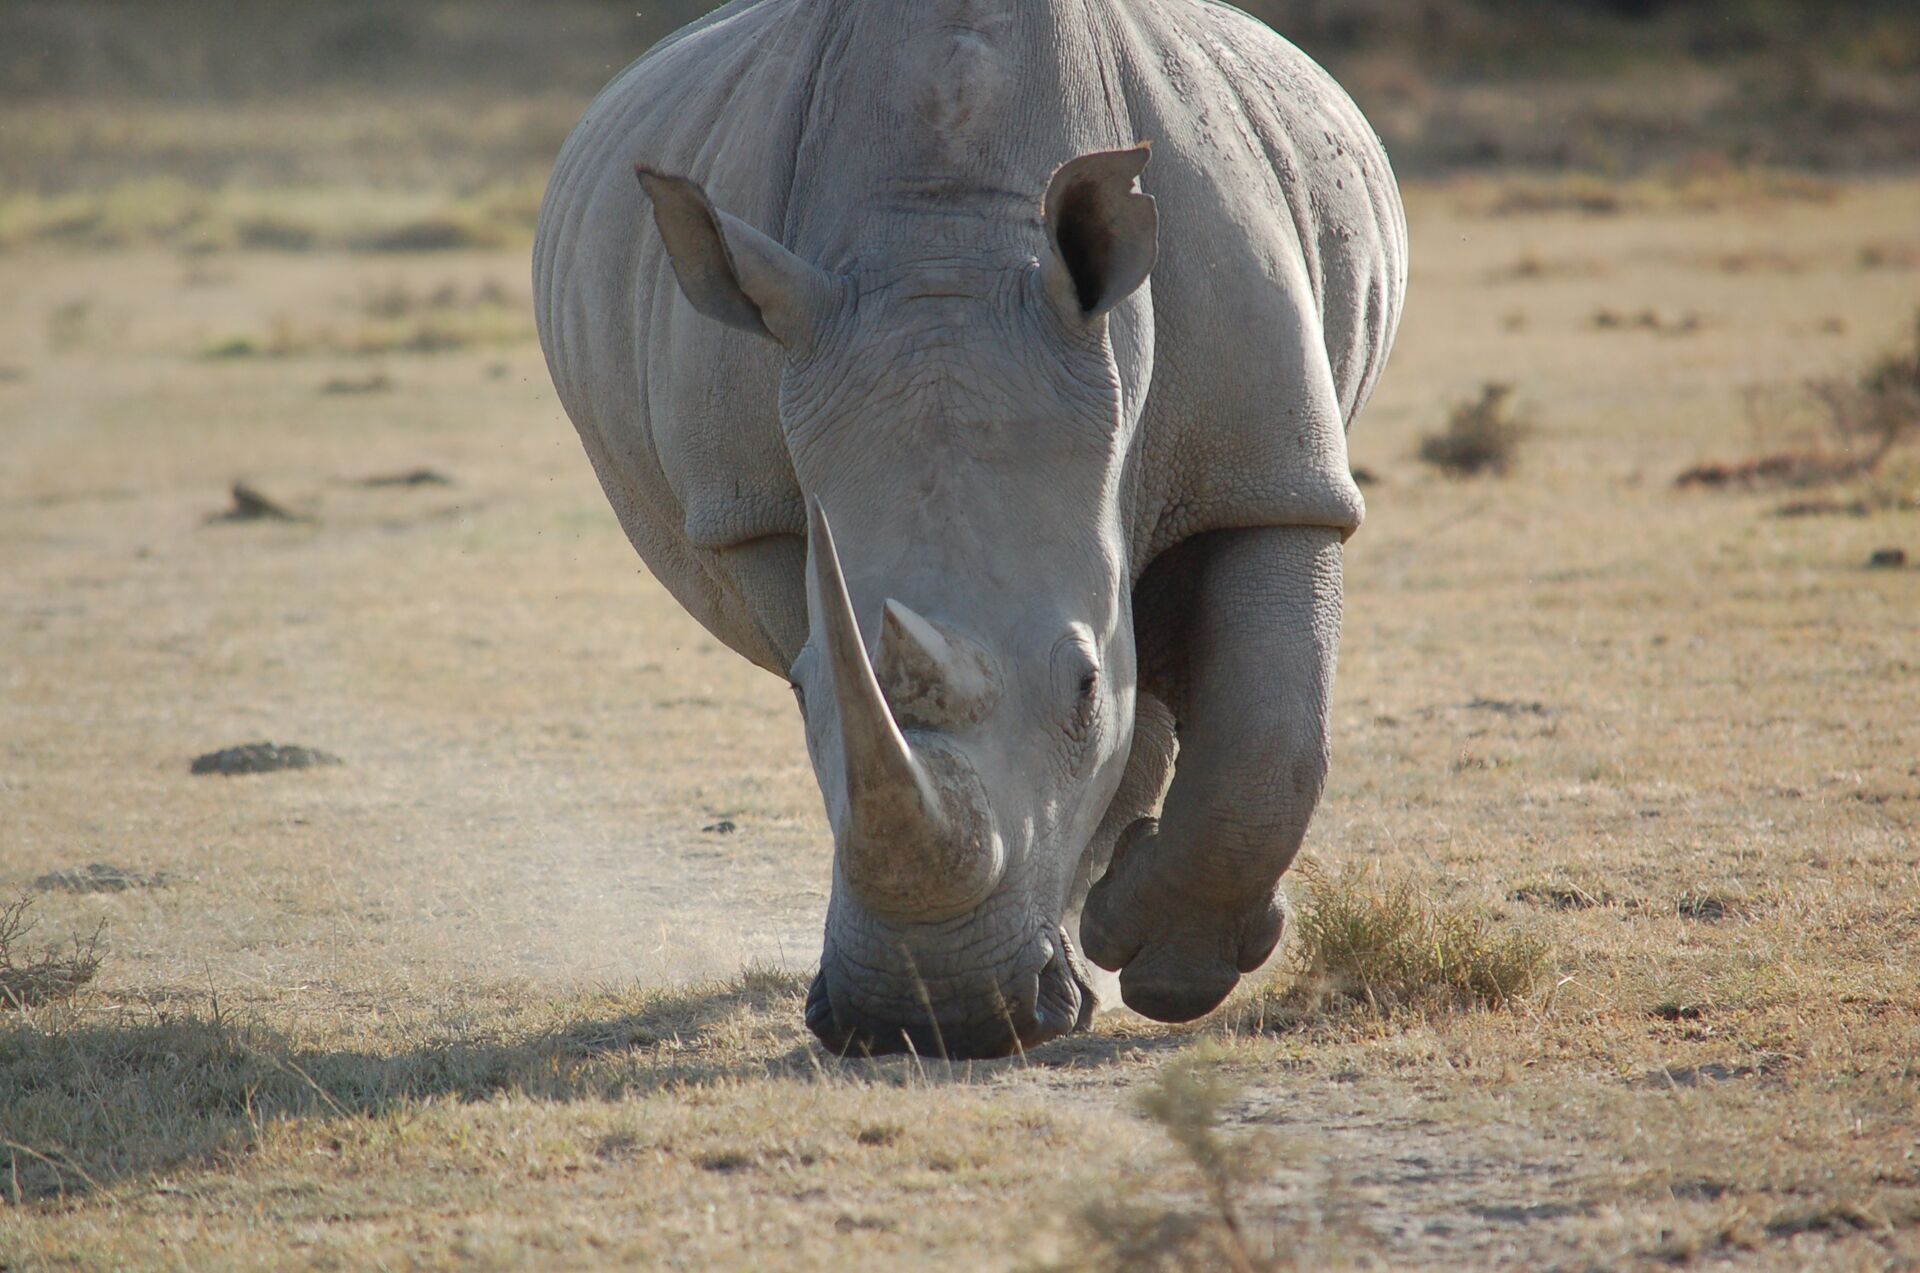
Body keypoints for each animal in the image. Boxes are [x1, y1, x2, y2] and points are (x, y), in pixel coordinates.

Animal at [534, 0, 1406, 1058]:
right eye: (801, 693)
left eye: (1084, 685)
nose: (931, 1019)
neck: (949, 240)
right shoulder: (751, 510)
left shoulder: (1271, 467)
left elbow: (1276, 735)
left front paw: (1169, 973)